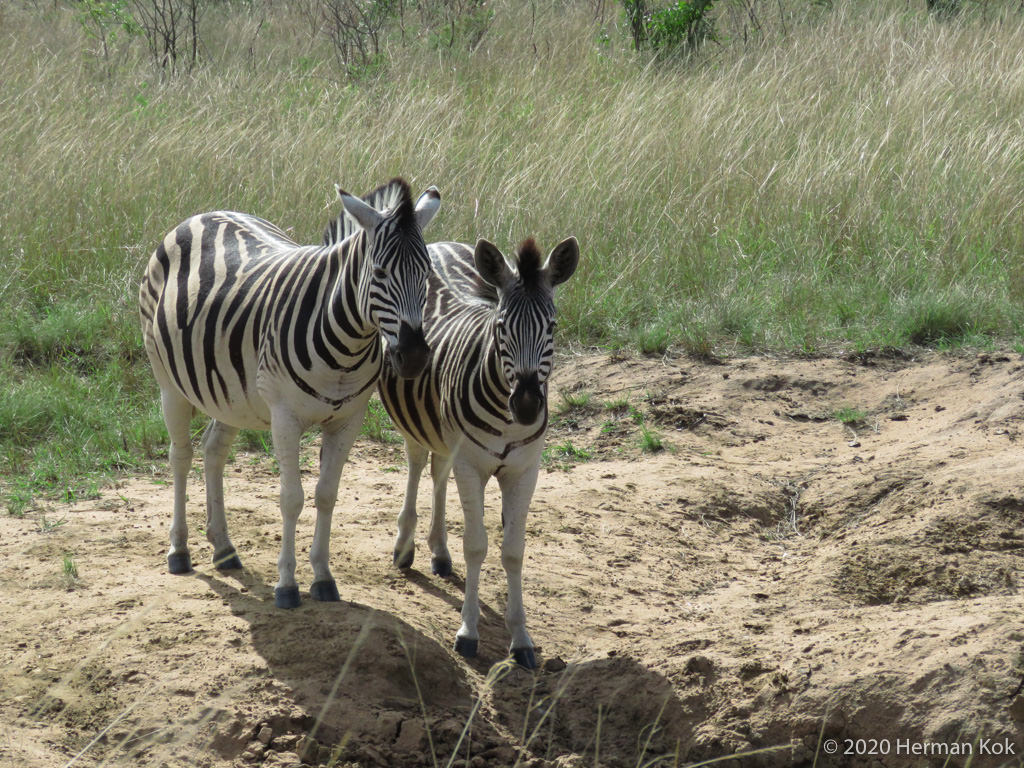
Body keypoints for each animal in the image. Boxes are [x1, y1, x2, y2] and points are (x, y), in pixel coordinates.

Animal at [138, 178, 440, 609]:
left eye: (428, 274)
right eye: (381, 272)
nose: (414, 357)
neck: (347, 345)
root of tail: (203, 215)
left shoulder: (348, 419)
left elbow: (327, 494)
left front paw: (323, 577)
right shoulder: (285, 416)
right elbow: (291, 498)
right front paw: (287, 585)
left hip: (231, 395)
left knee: (214, 451)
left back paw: (224, 548)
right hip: (169, 382)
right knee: (180, 456)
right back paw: (179, 551)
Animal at [378, 236, 579, 669]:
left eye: (552, 326)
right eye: (501, 328)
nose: (526, 405)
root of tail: (439, 243)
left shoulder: (524, 470)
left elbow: (513, 551)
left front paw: (521, 639)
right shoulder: (471, 465)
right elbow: (476, 545)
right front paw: (468, 633)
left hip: (445, 432)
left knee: (438, 470)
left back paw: (439, 552)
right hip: (418, 419)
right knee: (418, 464)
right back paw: (405, 547)